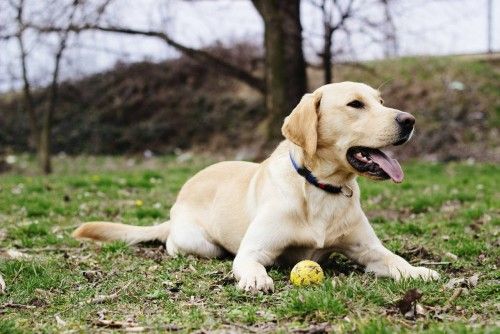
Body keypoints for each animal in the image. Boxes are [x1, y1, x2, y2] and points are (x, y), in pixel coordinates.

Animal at [73, 81, 438, 292]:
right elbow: (249, 262)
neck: (321, 188)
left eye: (381, 101)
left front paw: (418, 271)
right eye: (355, 104)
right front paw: (255, 278)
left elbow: (395, 259)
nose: (409, 120)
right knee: (177, 245)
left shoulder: (369, 250)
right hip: (199, 242)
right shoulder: (254, 249)